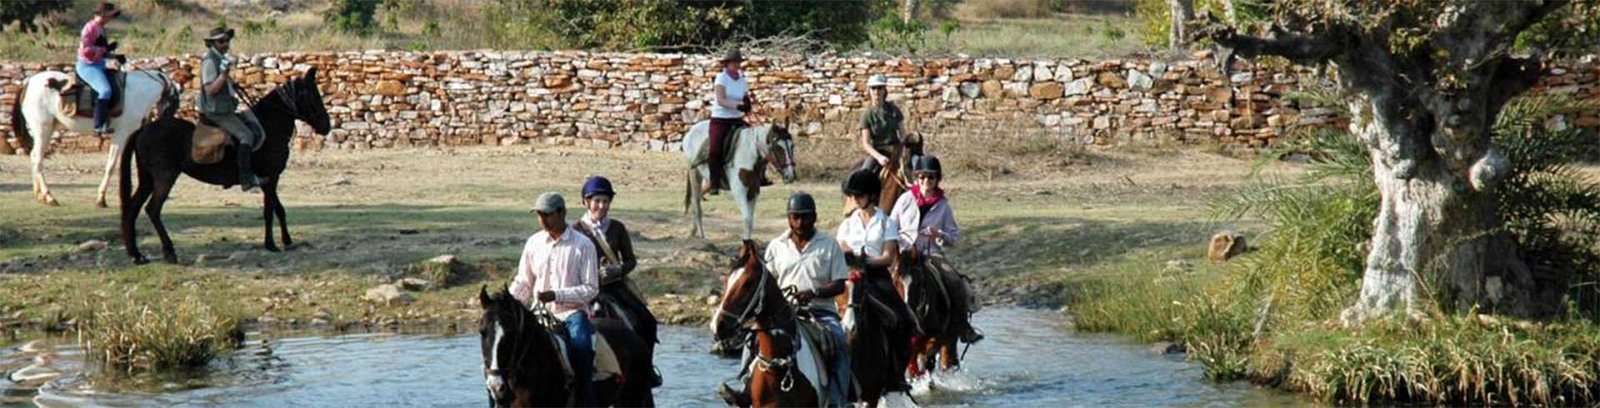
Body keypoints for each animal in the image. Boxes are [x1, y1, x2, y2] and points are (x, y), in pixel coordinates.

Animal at [9, 68, 180, 206]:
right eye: (174, 102)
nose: (166, 121)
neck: (136, 94)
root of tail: (28, 83)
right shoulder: (120, 135)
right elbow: (111, 166)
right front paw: (101, 199)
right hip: (42, 129)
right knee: (37, 159)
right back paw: (49, 197)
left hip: (47, 130)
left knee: (33, 156)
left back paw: (39, 195)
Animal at [120, 66, 332, 264]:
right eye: (312, 95)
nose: (326, 126)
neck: (270, 125)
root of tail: (143, 129)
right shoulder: (271, 177)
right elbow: (269, 211)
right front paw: (271, 245)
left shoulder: (268, 179)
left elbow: (278, 209)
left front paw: (287, 241)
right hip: (165, 177)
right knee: (153, 209)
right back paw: (169, 252)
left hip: (147, 179)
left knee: (133, 208)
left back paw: (136, 255)